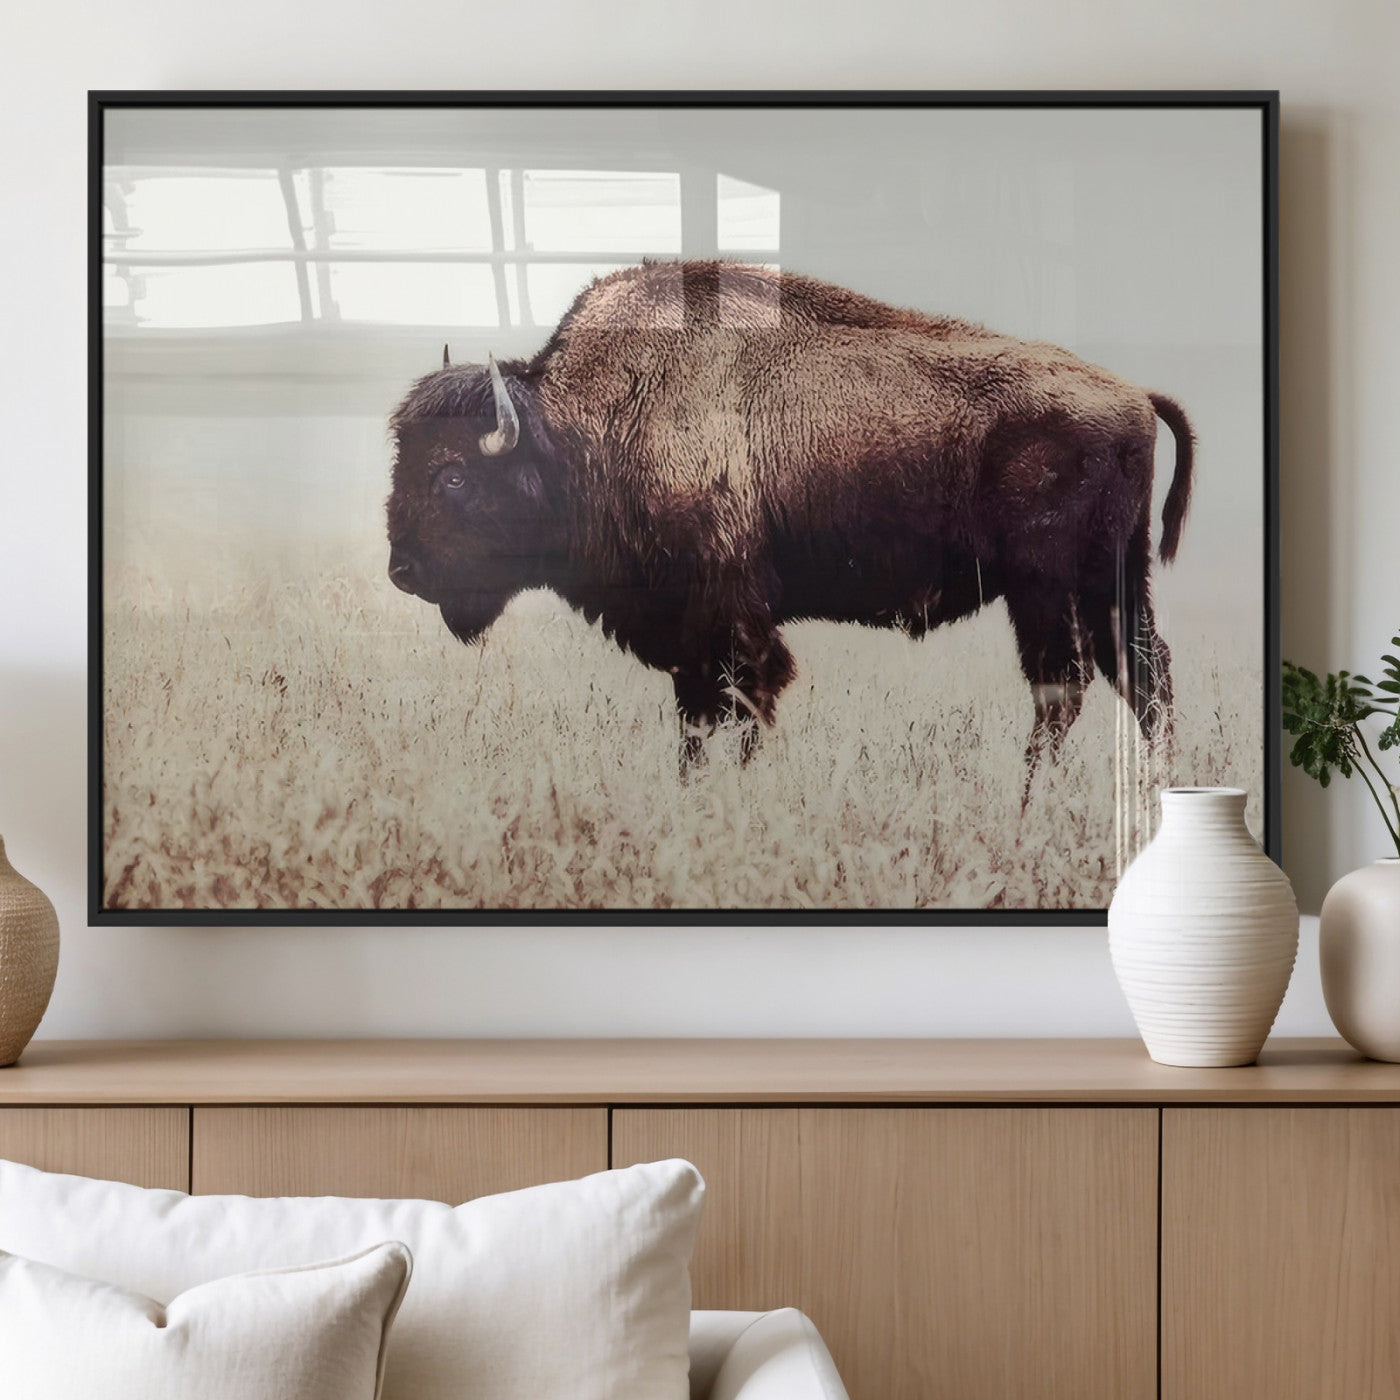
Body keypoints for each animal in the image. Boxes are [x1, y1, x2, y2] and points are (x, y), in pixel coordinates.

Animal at [386, 261, 1192, 779]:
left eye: (453, 475)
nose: (402, 572)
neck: (588, 425)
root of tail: (1133, 393)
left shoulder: (730, 614)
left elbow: (744, 699)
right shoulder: (690, 633)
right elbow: (697, 714)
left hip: (1044, 585)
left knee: (1064, 683)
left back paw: (1029, 797)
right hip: (1114, 579)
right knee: (1142, 674)